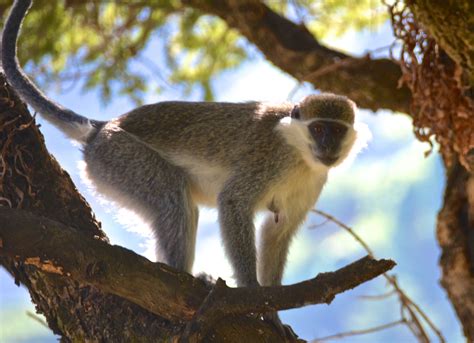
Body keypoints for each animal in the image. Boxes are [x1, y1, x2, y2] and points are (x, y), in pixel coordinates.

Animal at [2, 0, 360, 296]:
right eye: (318, 129)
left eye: (336, 131)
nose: (328, 146)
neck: (300, 154)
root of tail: (101, 129)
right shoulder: (268, 158)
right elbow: (233, 202)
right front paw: (253, 293)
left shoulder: (313, 181)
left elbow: (278, 229)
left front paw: (274, 306)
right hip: (118, 158)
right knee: (172, 198)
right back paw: (179, 276)